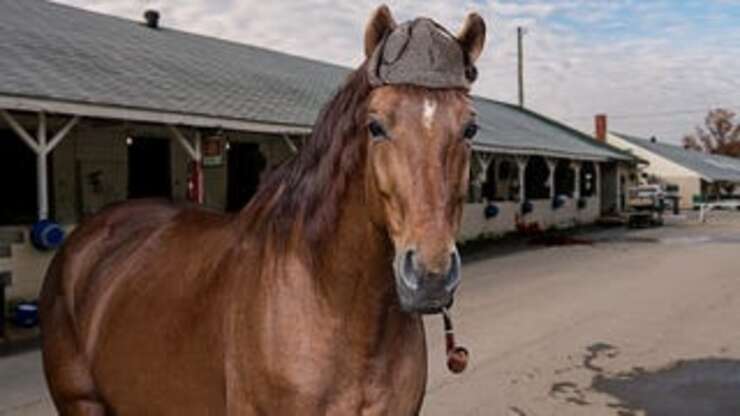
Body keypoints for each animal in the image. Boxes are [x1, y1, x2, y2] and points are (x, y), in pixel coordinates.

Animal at [39, 5, 486, 415]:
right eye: (375, 126)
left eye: (470, 128)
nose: (430, 277)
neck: (337, 305)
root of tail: (83, 240)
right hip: (82, 403)